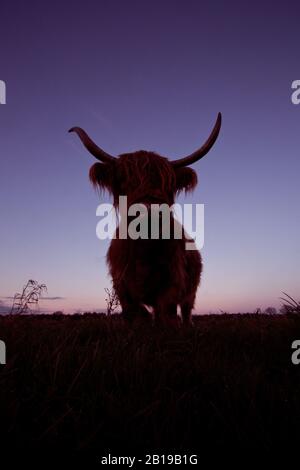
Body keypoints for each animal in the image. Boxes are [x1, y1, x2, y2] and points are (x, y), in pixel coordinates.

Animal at [69, 112, 220, 324]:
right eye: (123, 180)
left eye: (169, 183)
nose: (149, 211)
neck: (144, 252)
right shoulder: (122, 287)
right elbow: (136, 314)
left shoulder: (173, 283)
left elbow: (167, 315)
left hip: (191, 291)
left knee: (186, 310)